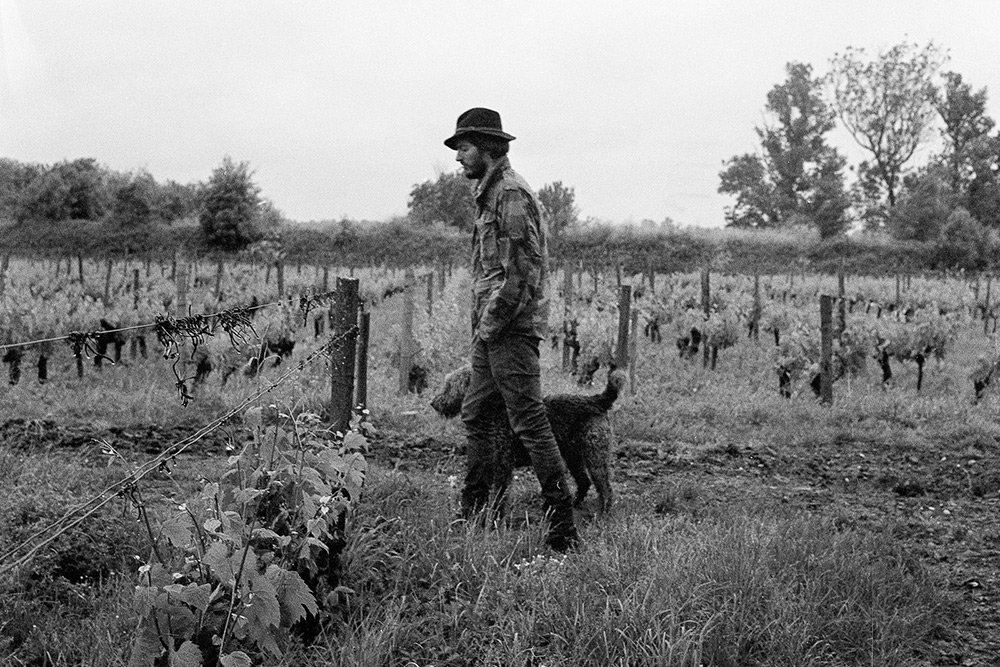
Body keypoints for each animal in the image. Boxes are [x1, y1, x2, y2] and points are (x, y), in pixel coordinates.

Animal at [430, 368, 624, 516]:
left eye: (449, 385)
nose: (433, 403)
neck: (494, 411)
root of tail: (596, 400)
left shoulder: (503, 464)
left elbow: (500, 493)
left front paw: (496, 516)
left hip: (595, 456)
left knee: (605, 489)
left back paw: (602, 514)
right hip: (573, 456)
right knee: (584, 482)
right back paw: (575, 504)